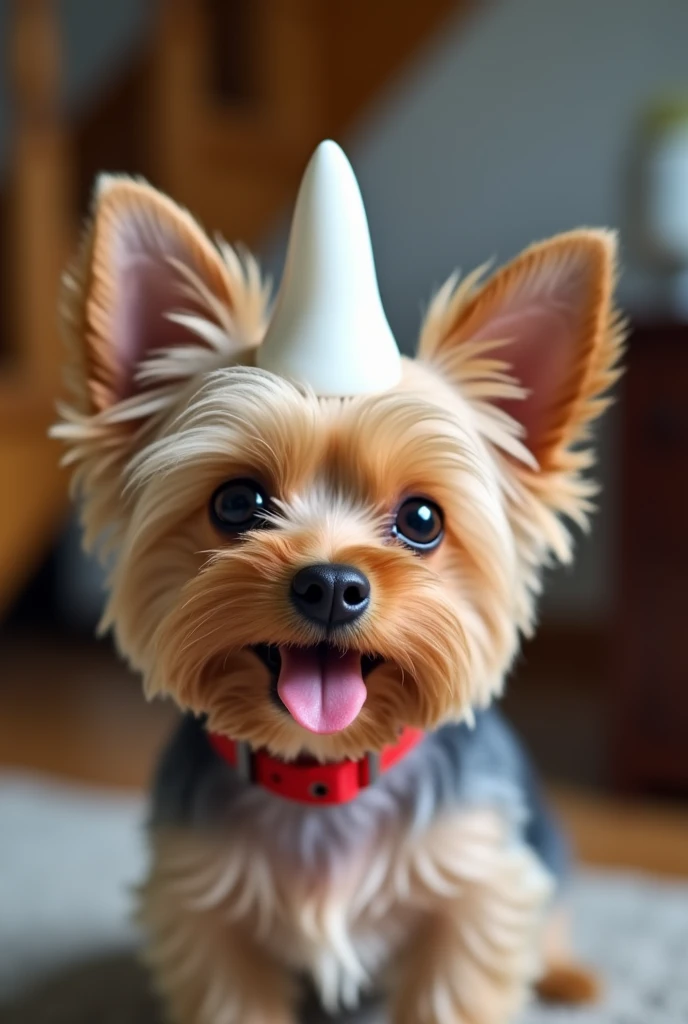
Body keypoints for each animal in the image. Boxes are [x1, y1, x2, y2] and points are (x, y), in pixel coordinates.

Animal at [53, 138, 622, 1024]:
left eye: (422, 519)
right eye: (238, 501)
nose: (329, 584)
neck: (322, 778)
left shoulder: (477, 893)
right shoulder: (203, 916)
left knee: (554, 911)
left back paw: (569, 976)